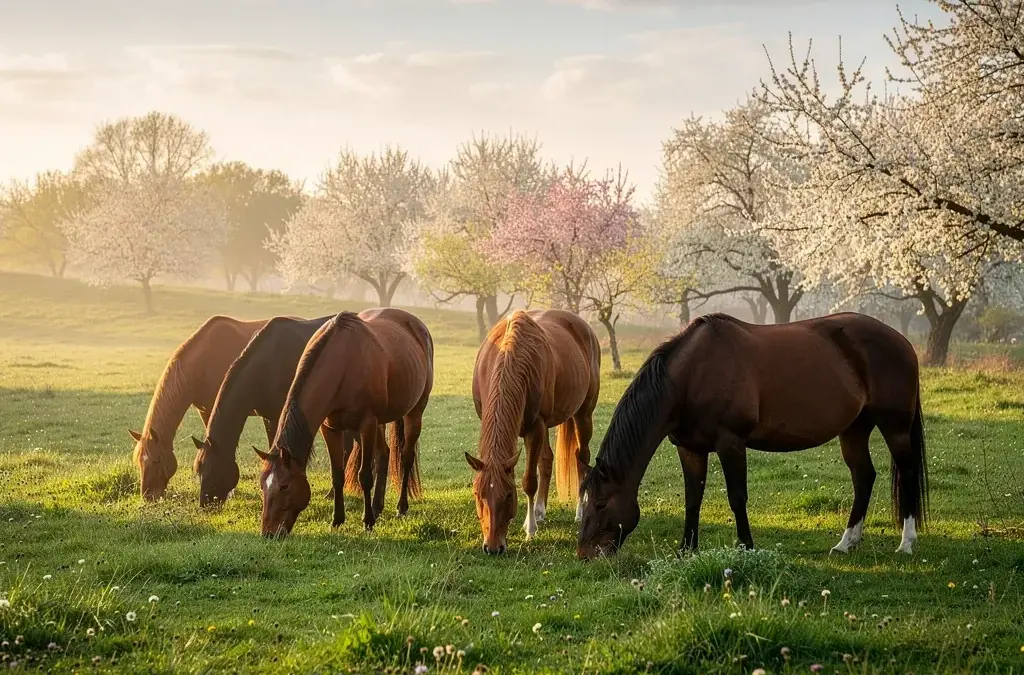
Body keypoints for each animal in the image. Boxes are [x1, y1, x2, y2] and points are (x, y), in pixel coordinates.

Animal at [190, 316, 394, 509]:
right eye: (199, 471)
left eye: (213, 469)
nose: (205, 505)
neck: (265, 364)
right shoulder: (268, 417)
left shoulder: (278, 416)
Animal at [256, 308, 433, 537]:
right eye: (262, 485)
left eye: (284, 486)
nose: (269, 533)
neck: (343, 363)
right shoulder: (330, 428)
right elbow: (337, 474)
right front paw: (337, 520)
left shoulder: (367, 424)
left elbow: (364, 475)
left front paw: (367, 522)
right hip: (379, 423)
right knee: (383, 454)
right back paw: (377, 507)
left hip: (414, 412)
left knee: (405, 458)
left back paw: (400, 508)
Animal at [466, 309, 600, 555]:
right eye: (478, 495)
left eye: (509, 495)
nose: (493, 548)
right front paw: (534, 518)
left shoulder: (535, 428)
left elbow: (529, 480)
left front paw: (529, 530)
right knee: (547, 460)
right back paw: (539, 510)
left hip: (583, 414)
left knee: (582, 458)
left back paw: (579, 510)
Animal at [577, 312, 928, 560]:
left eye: (600, 503)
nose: (584, 554)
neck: (691, 376)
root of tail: (903, 342)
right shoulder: (689, 448)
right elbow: (693, 499)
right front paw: (685, 550)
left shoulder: (731, 443)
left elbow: (737, 497)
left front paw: (746, 546)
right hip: (855, 428)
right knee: (863, 477)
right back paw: (846, 542)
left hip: (895, 427)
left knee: (908, 473)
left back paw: (906, 543)